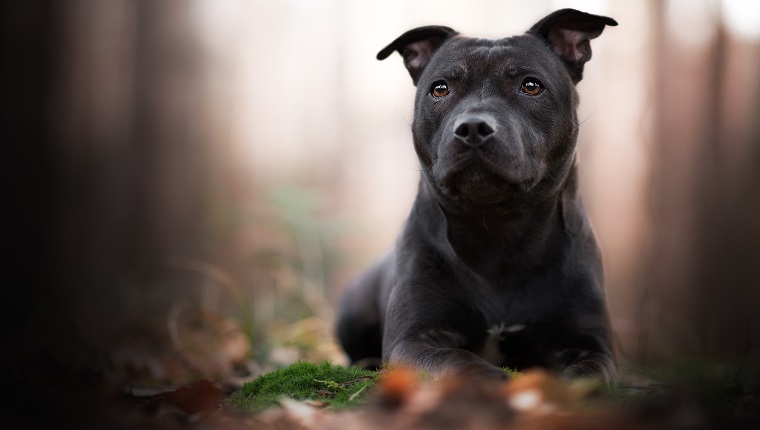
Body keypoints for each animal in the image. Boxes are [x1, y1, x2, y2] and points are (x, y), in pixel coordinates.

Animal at [338, 8, 616, 382]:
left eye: (531, 85)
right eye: (440, 89)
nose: (472, 128)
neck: (499, 234)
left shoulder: (592, 345)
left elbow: (586, 375)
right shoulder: (413, 339)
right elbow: (461, 363)